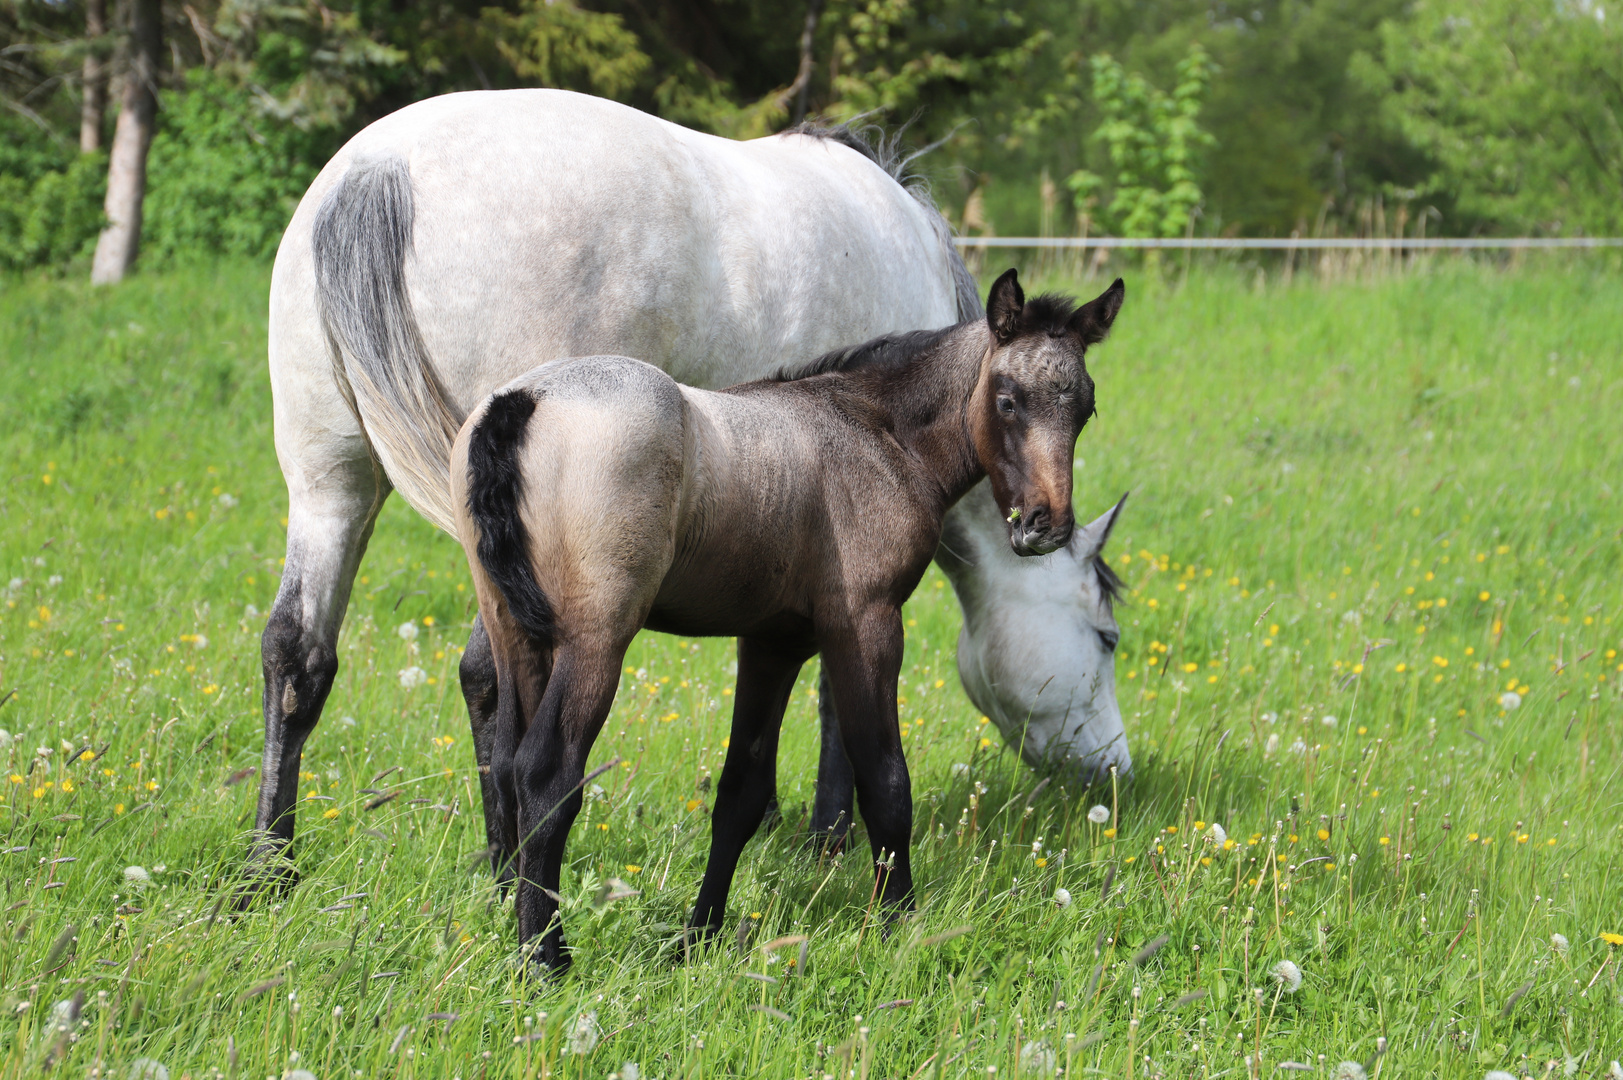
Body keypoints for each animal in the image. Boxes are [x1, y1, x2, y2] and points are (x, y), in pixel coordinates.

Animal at [451, 269, 1123, 967]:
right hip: (595, 641)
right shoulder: (866, 623)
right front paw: (897, 927)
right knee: (546, 774)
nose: (1045, 525)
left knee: (506, 762)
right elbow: (884, 781)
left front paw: (699, 937)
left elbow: (741, 794)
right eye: (1008, 400)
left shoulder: (773, 642)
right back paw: (545, 960)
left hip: (515, 632)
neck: (877, 434)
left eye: (1085, 408)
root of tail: (524, 399)